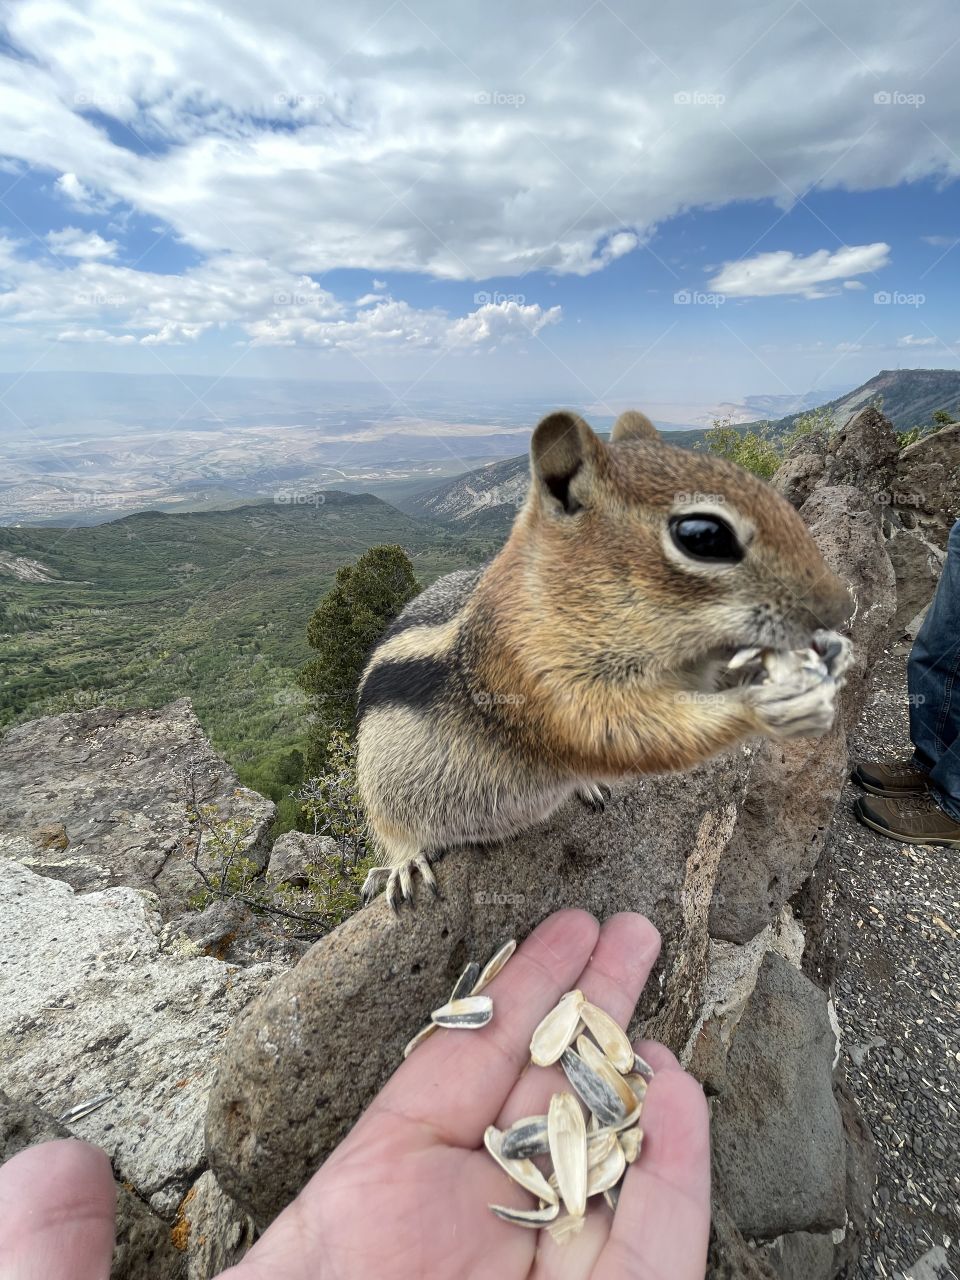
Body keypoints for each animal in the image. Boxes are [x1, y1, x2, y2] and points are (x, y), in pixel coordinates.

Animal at [357, 408, 853, 911]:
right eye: (703, 536)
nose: (842, 605)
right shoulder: (531, 676)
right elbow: (621, 731)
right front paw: (761, 703)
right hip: (385, 796)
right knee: (396, 833)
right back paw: (403, 865)